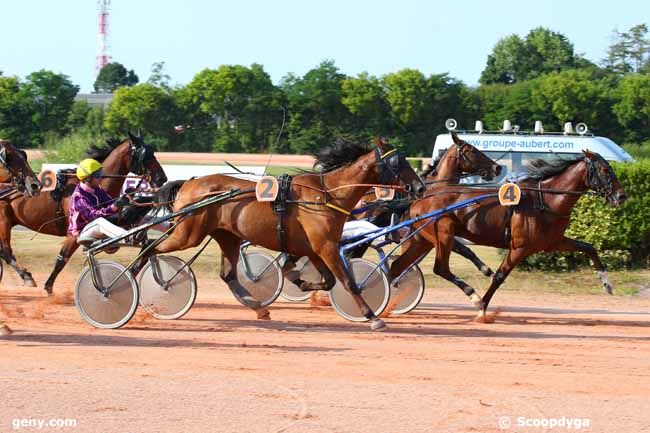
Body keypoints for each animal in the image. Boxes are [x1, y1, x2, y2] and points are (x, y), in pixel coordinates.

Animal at [0, 133, 167, 292]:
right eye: (144, 154)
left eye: (152, 151)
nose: (162, 178)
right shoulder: (74, 232)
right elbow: (62, 258)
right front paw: (48, 287)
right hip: (4, 222)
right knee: (6, 252)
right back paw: (26, 276)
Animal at [135, 138, 426, 330]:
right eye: (397, 162)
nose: (420, 187)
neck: (326, 194)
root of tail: (190, 182)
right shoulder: (326, 247)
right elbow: (348, 281)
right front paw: (373, 317)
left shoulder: (316, 248)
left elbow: (327, 280)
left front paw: (297, 279)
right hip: (188, 233)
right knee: (149, 246)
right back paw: (145, 274)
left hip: (227, 236)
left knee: (228, 275)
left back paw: (260, 308)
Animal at [390, 149, 624, 318]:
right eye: (605, 170)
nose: (622, 196)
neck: (545, 201)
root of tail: (420, 198)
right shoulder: (519, 247)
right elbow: (500, 276)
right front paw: (482, 307)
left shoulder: (553, 242)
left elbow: (589, 248)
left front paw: (607, 284)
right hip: (444, 234)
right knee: (440, 268)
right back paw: (472, 296)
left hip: (423, 240)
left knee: (397, 267)